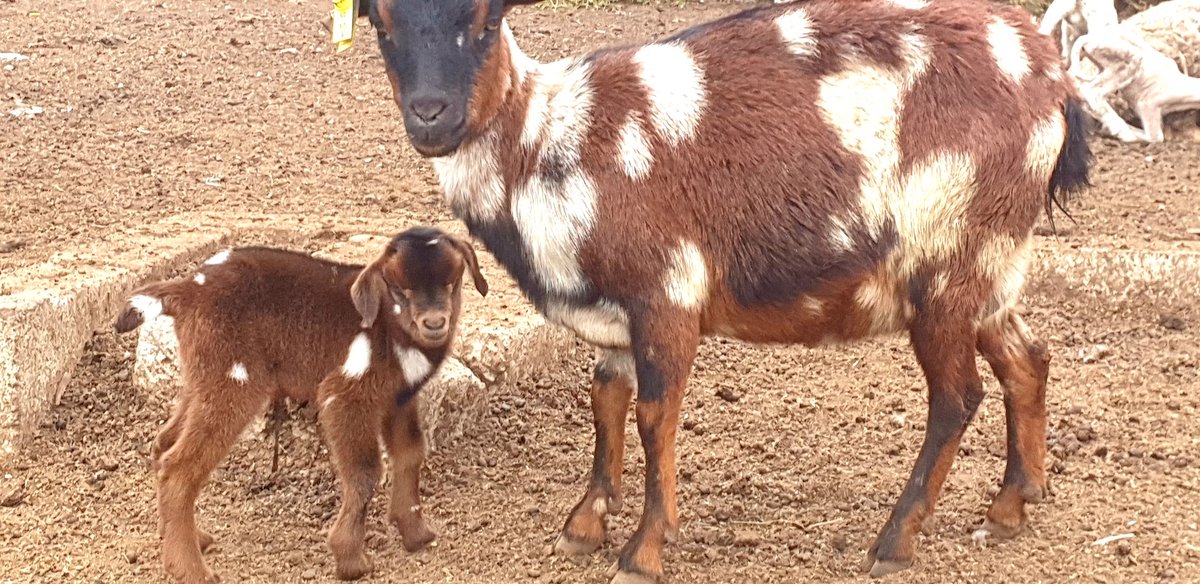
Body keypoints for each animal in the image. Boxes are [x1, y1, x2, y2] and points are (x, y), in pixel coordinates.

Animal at [113, 226, 489, 584]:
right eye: (399, 289)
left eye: (453, 281)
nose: (434, 323)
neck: (387, 326)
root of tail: (187, 290)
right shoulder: (346, 394)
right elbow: (365, 472)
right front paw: (351, 561)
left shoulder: (400, 398)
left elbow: (410, 453)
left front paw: (417, 535)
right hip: (233, 380)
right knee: (178, 466)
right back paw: (192, 570)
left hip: (202, 377)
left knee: (164, 443)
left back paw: (188, 539)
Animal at [357, 0, 1092, 581]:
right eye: (380, 21)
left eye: (485, 20)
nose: (431, 116)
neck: (544, 142)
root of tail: (1052, 78)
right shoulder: (614, 313)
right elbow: (605, 399)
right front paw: (584, 525)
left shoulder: (666, 293)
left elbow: (655, 415)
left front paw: (642, 552)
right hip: (992, 269)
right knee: (1028, 359)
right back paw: (1010, 508)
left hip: (947, 266)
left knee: (957, 397)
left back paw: (895, 540)